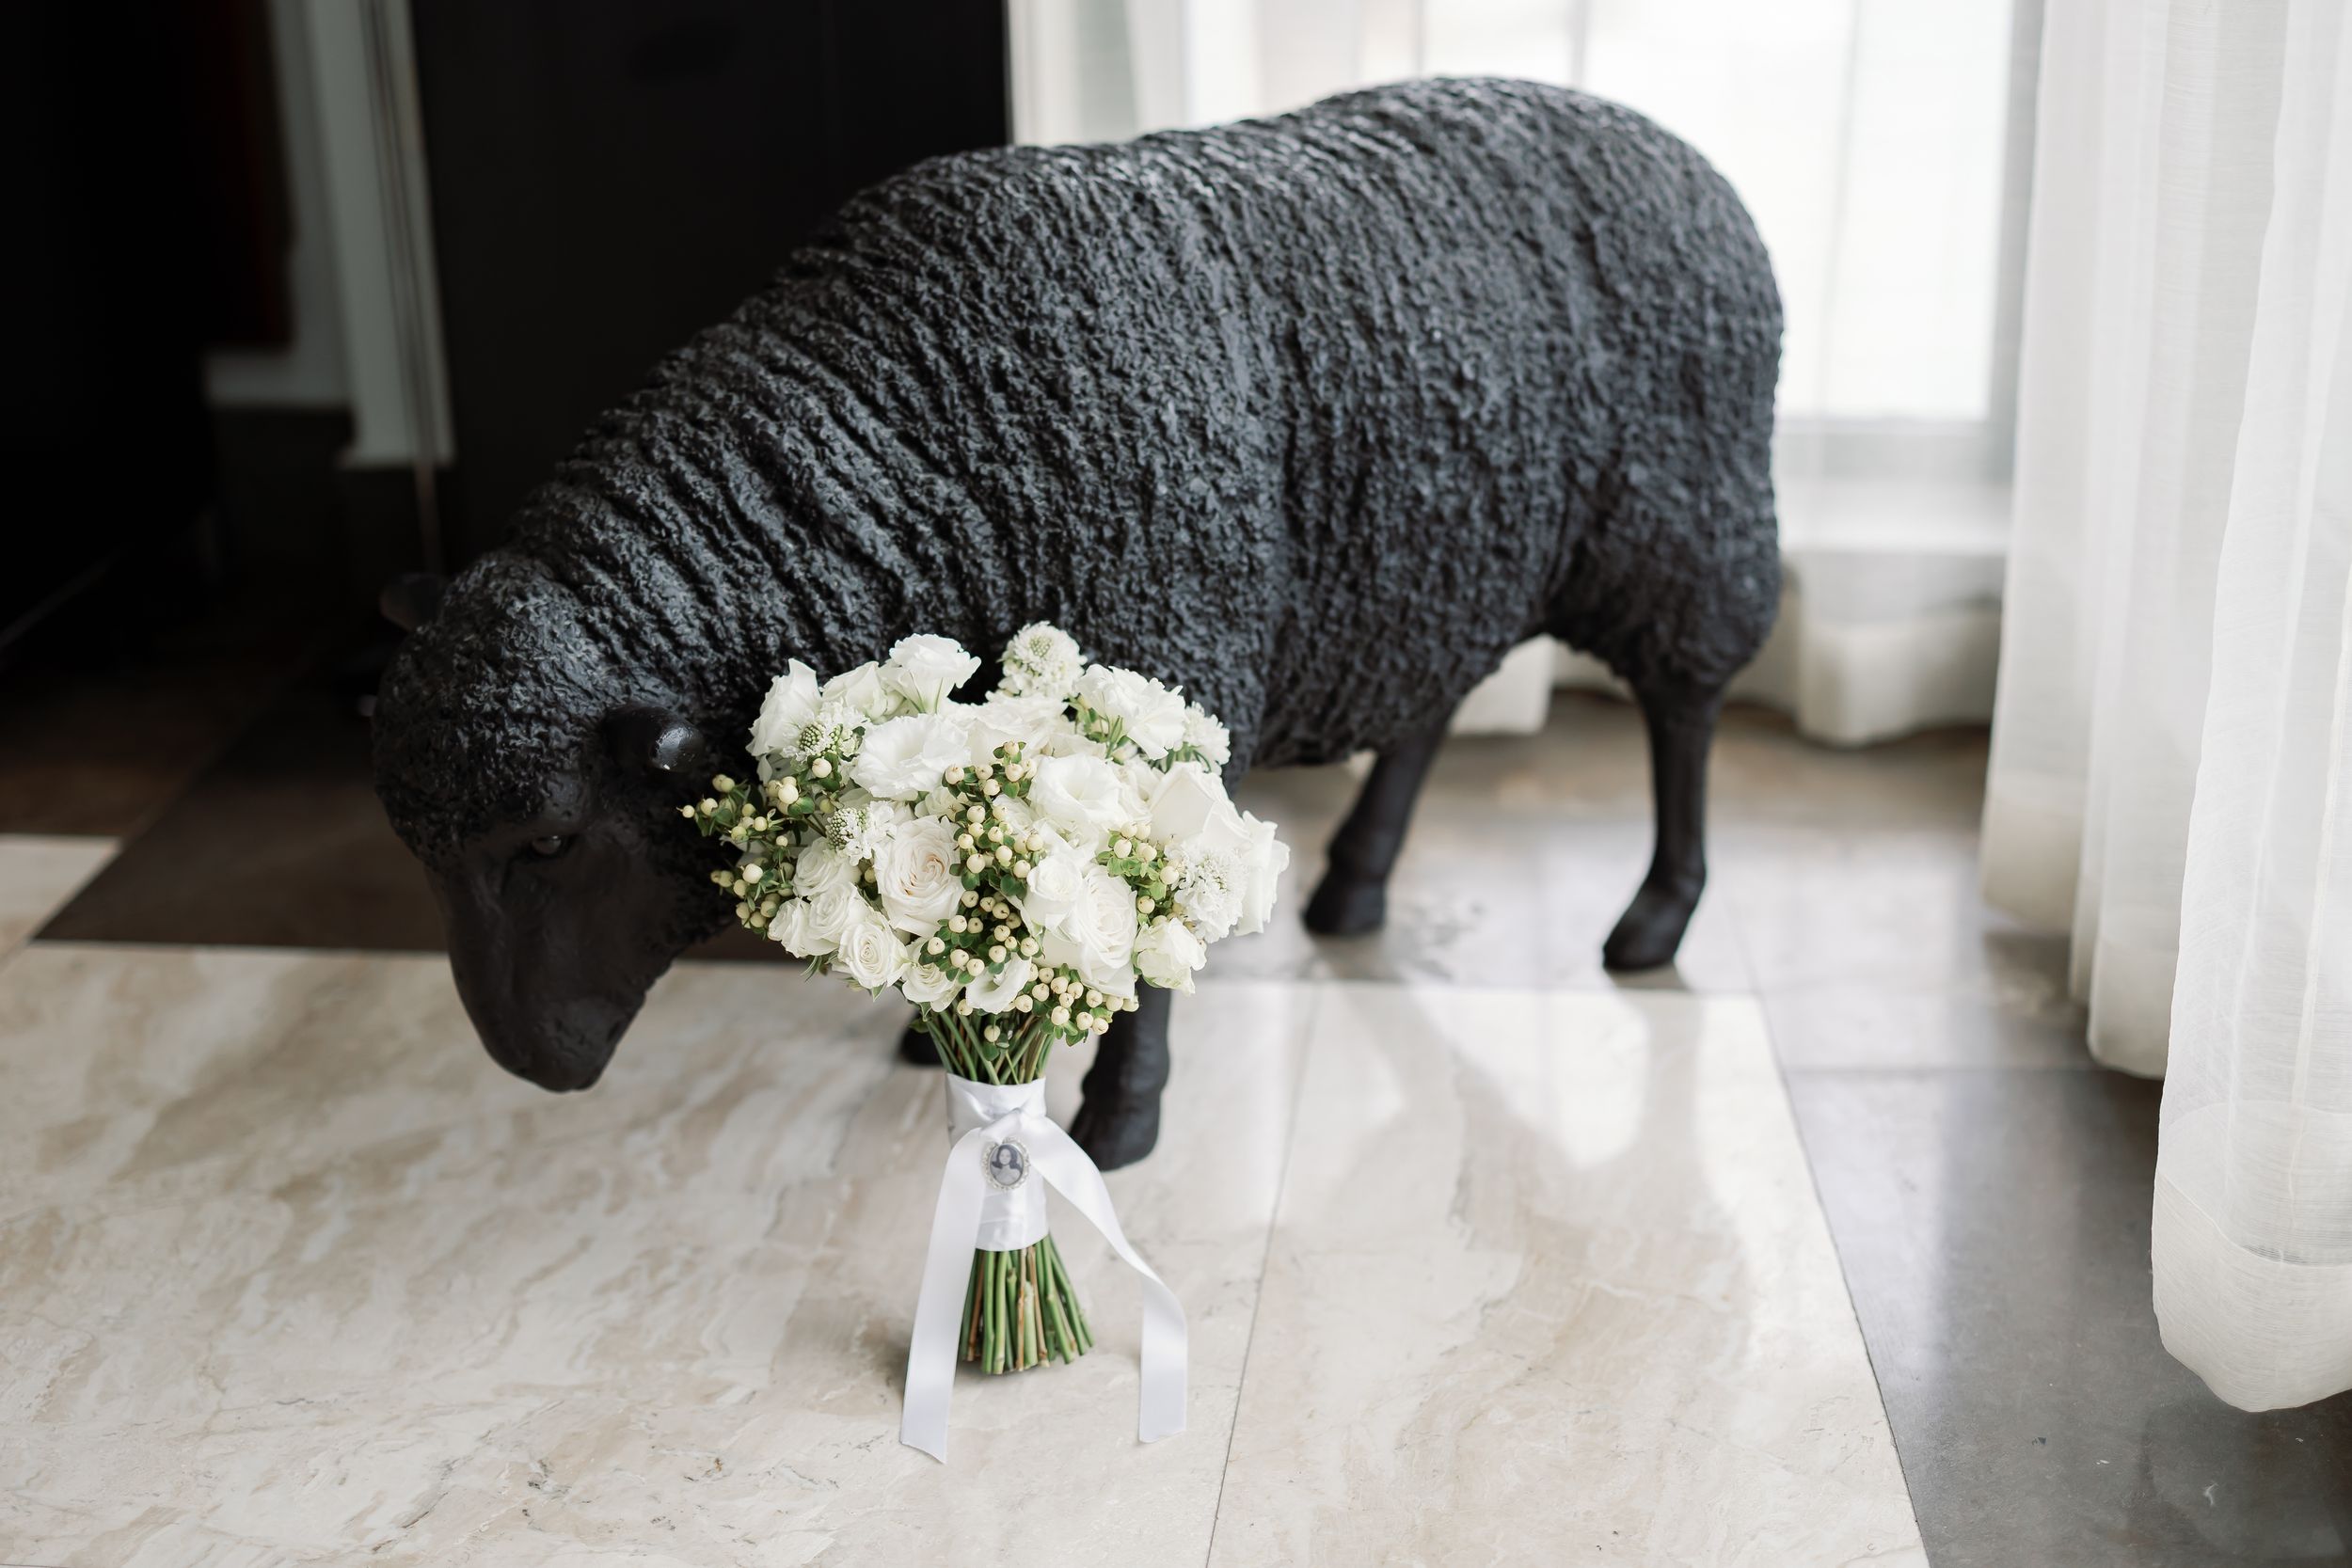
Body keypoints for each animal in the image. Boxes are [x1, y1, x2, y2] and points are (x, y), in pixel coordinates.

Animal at [373, 76, 1782, 1169]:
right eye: (420, 852)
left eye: (550, 840)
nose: (524, 1062)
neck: (915, 422)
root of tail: (1684, 154)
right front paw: (934, 1020)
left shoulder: (1167, 683)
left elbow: (1141, 958)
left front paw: (1117, 1121)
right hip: (1438, 542)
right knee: (1434, 702)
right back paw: (1357, 883)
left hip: (1681, 520)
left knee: (1687, 706)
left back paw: (1656, 916)